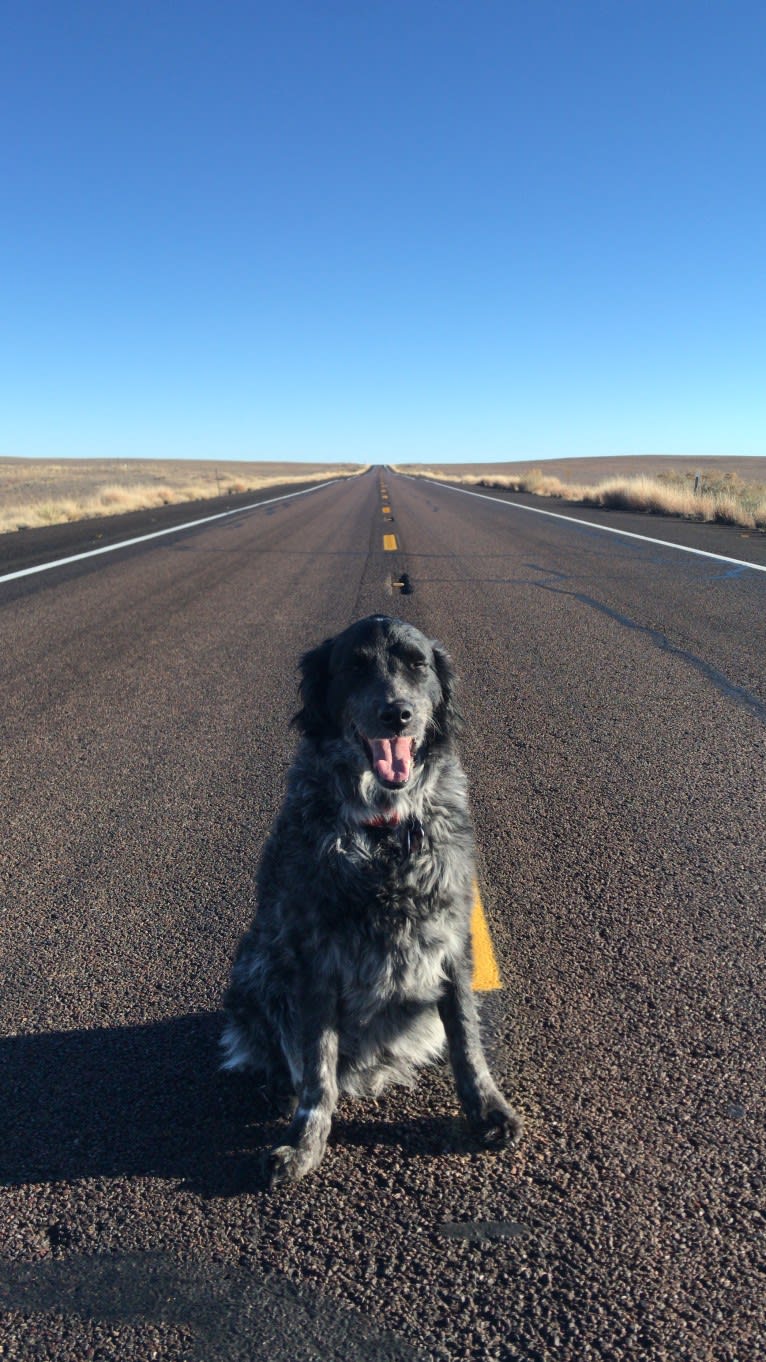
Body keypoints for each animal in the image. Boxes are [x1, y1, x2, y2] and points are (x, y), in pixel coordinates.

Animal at [219, 618, 517, 1182]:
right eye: (355, 667)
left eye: (417, 664)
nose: (396, 713)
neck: (385, 831)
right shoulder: (311, 960)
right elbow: (316, 1073)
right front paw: (305, 1144)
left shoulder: (451, 942)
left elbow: (467, 1039)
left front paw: (488, 1109)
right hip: (257, 965)